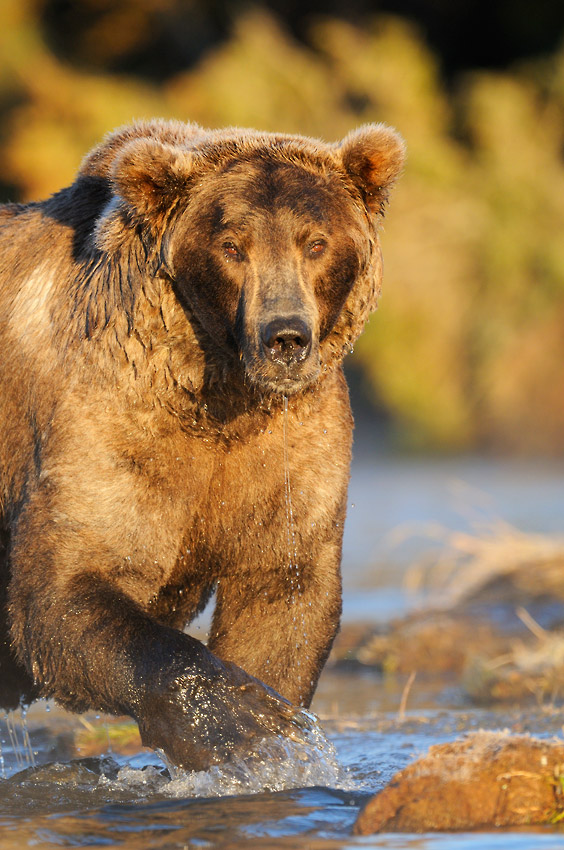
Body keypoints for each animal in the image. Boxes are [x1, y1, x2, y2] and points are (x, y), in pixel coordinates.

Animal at [0, 119, 406, 768]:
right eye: (232, 246)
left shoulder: (293, 444)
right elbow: (67, 589)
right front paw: (244, 723)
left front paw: (273, 726)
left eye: (316, 242)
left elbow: (282, 593)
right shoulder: (108, 425)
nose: (285, 337)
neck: (218, 393)